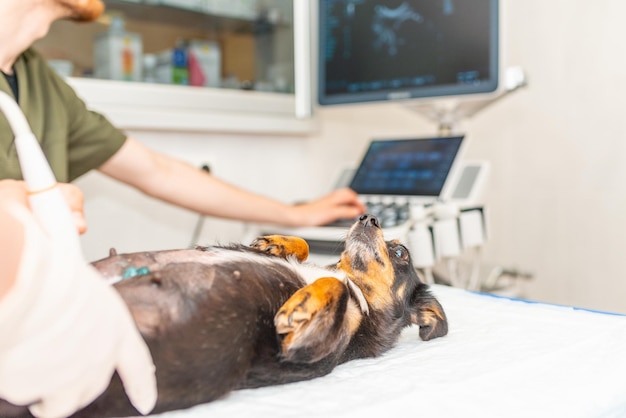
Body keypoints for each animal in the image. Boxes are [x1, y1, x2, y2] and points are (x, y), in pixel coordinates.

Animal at [1, 214, 448, 416]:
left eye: (401, 252)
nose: (367, 216)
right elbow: (309, 251)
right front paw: (275, 242)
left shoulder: (303, 348)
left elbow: (333, 287)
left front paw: (300, 303)